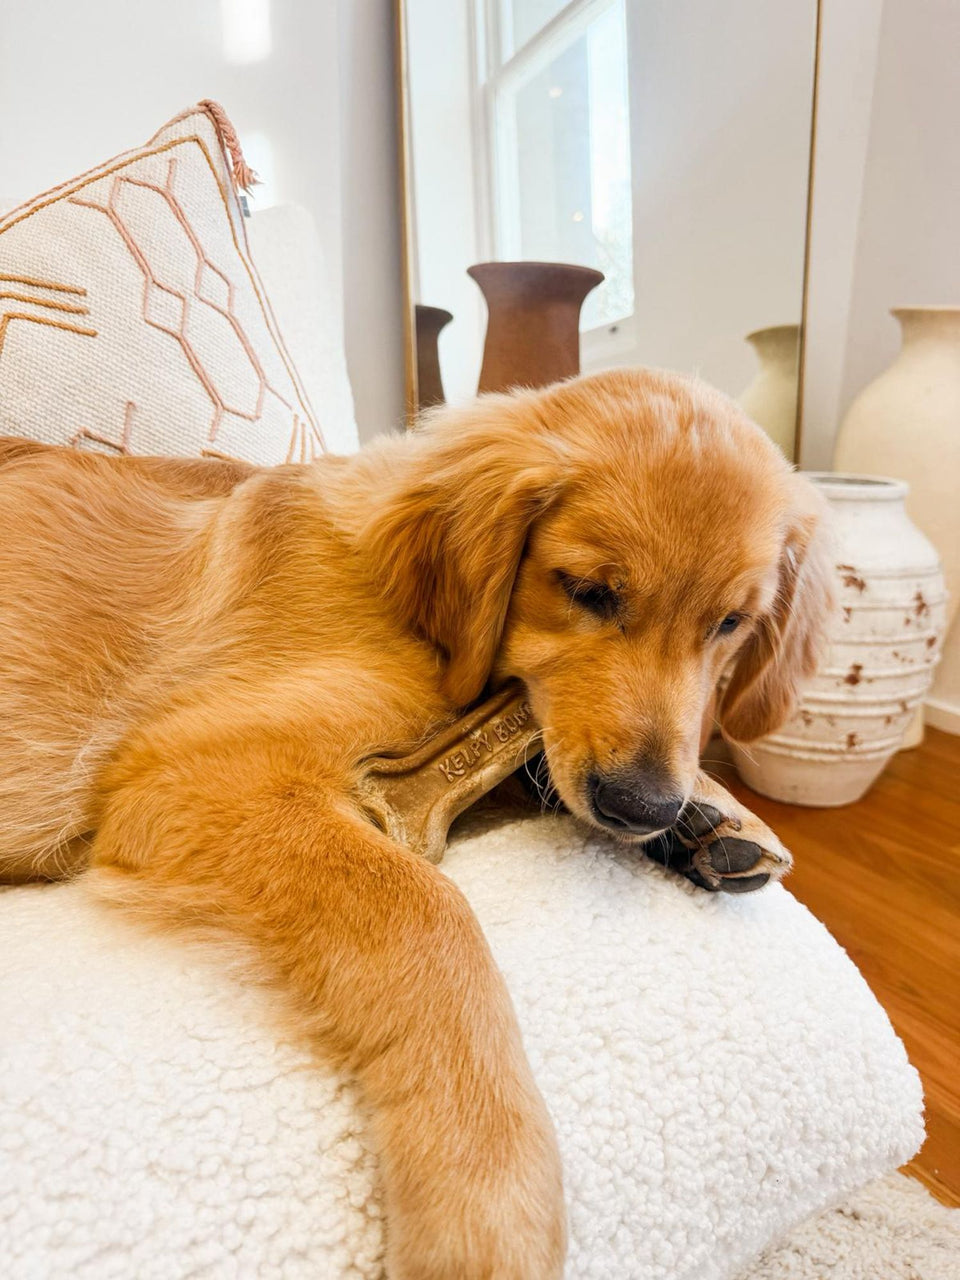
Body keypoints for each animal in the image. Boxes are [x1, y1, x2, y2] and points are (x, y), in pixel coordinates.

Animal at [0, 367, 833, 1278]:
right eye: (587, 591)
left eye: (730, 624)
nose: (642, 805)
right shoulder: (192, 771)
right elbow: (427, 913)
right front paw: (487, 1194)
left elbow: (529, 774)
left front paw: (711, 818)